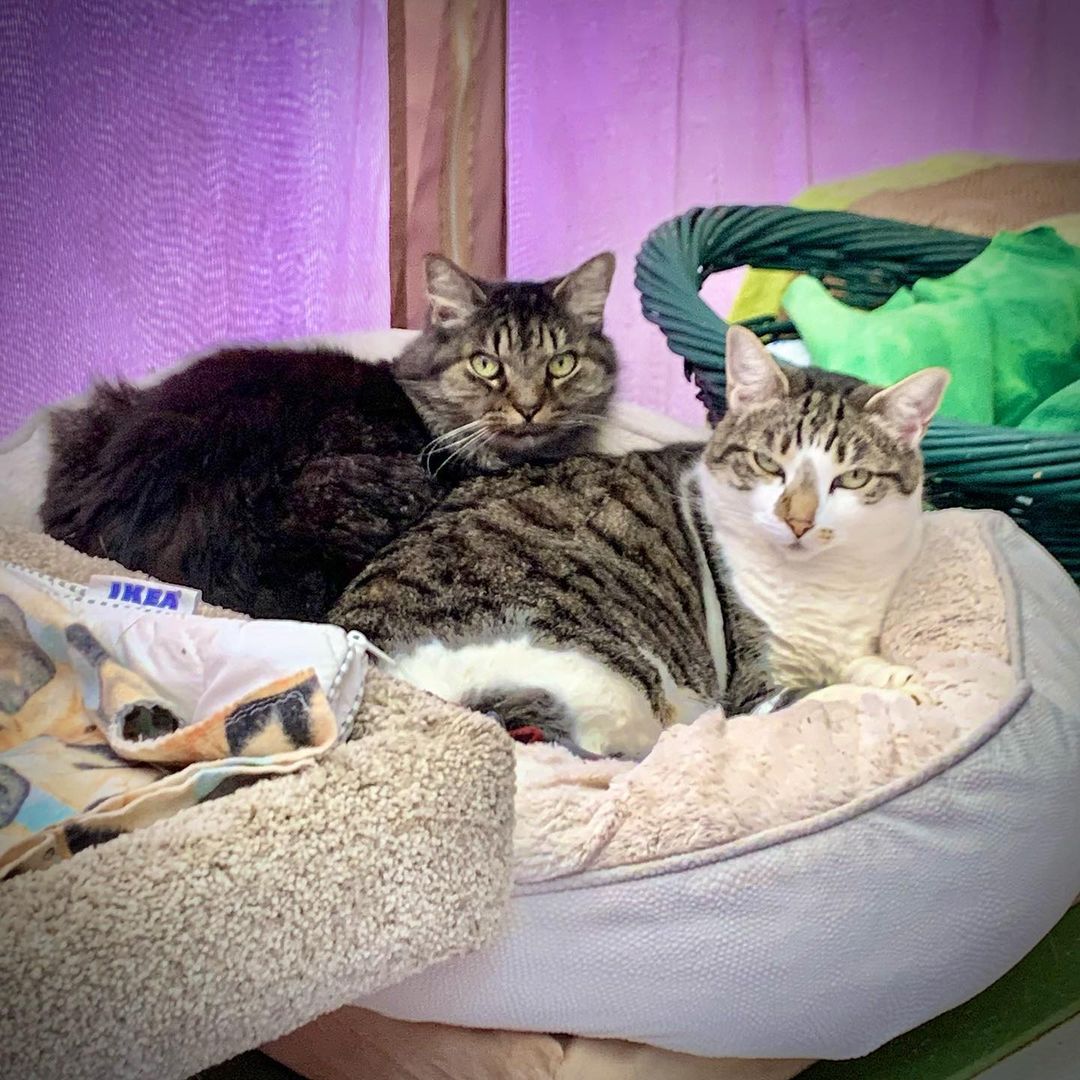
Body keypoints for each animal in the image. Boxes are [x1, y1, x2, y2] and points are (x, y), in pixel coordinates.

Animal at [332, 324, 950, 756]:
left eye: (851, 478)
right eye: (768, 465)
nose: (797, 520)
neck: (820, 584)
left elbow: (858, 664)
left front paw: (897, 676)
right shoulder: (755, 687)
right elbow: (819, 694)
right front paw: (898, 693)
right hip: (608, 673)